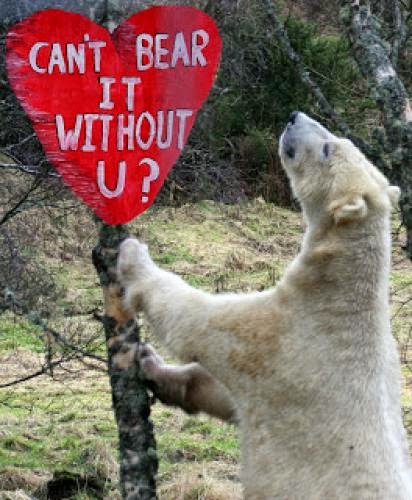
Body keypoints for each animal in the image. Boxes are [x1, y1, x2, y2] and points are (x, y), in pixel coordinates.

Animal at [117, 112, 412, 499]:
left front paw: (132, 255)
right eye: (342, 140)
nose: (294, 117)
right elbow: (224, 397)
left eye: (327, 149)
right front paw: (153, 367)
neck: (338, 293)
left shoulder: (278, 337)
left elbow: (199, 324)